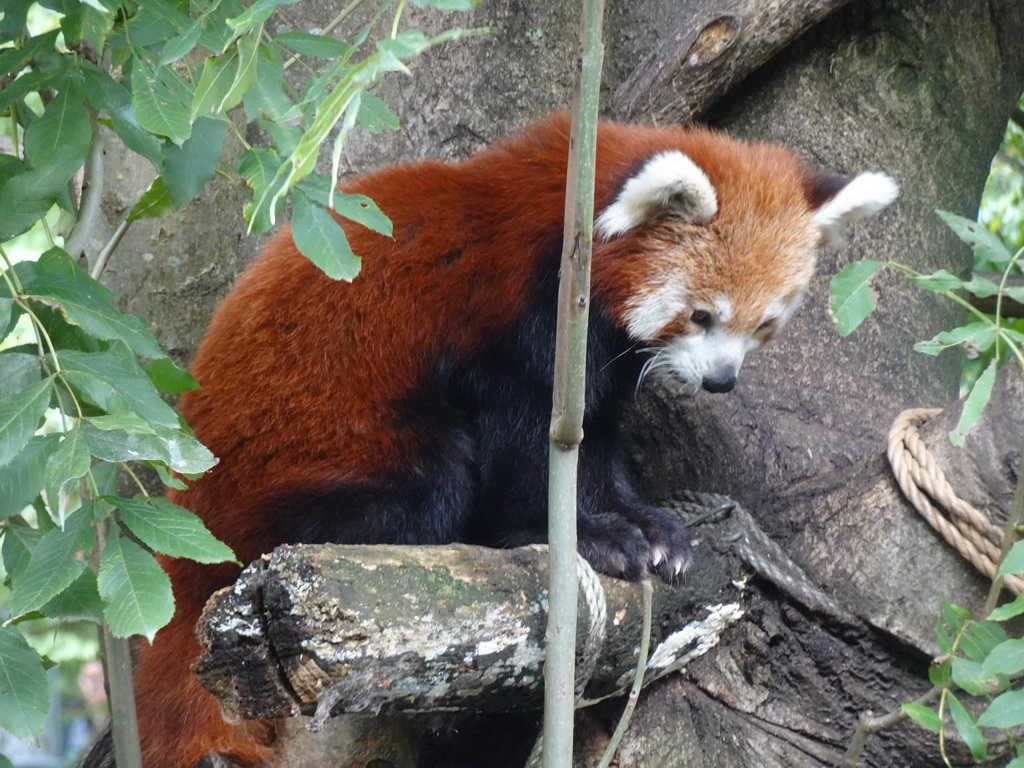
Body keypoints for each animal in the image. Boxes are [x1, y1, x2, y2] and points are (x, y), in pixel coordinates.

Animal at [134, 114, 897, 768]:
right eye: (701, 315)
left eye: (763, 324)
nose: (720, 382)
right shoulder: (513, 320)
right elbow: (527, 446)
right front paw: (584, 535)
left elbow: (597, 442)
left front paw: (650, 526)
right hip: (322, 446)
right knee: (426, 485)